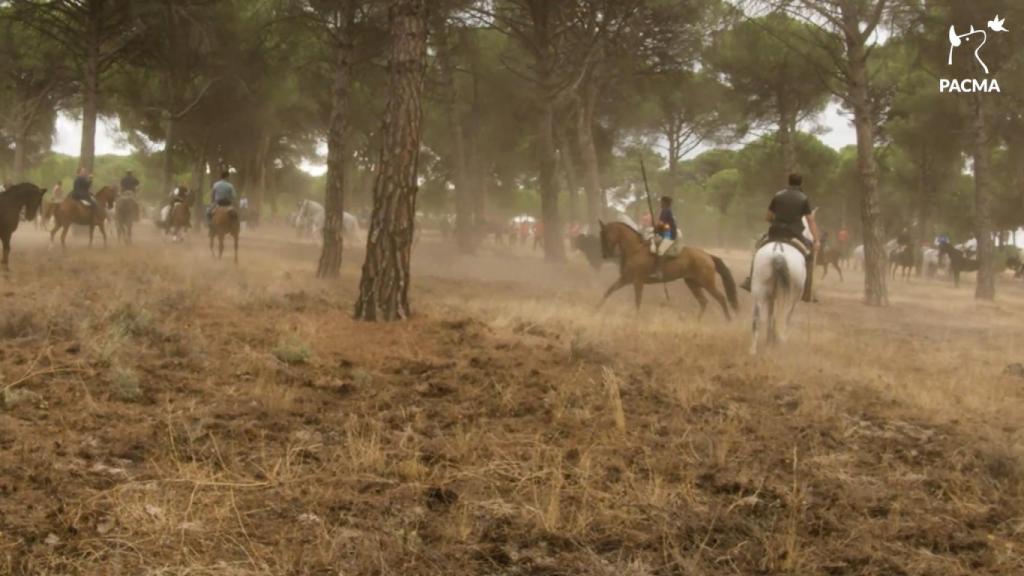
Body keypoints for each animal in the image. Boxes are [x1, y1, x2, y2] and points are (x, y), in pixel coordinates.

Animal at [598, 219, 741, 317]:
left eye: (605, 235)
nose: (605, 255)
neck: (635, 249)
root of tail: (707, 256)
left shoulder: (637, 282)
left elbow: (637, 300)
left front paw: (636, 317)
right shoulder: (625, 279)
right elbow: (608, 292)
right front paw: (596, 309)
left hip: (707, 283)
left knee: (721, 298)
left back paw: (728, 321)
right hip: (692, 283)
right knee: (704, 301)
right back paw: (697, 322)